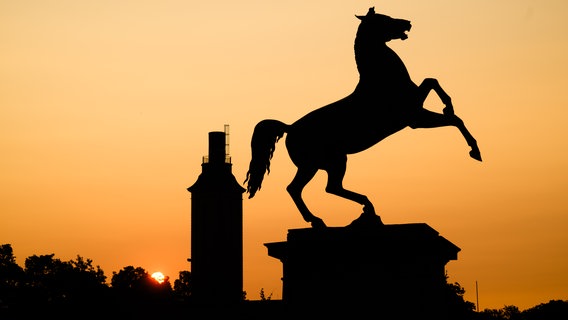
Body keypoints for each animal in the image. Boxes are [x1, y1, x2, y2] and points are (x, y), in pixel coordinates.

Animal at [243, 7, 480, 228]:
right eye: (384, 19)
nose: (408, 23)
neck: (380, 77)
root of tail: (290, 128)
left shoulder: (417, 114)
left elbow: (437, 88)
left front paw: (451, 111)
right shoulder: (414, 117)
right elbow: (446, 106)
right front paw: (474, 149)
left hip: (323, 163)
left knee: (319, 188)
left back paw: (358, 211)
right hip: (325, 162)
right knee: (310, 188)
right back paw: (329, 217)